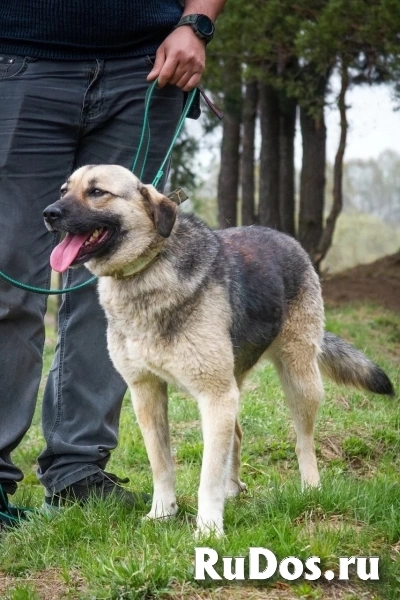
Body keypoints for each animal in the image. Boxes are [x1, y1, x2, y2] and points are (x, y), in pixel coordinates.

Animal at [43, 165, 394, 540]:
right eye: (64, 189)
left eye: (97, 192)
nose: (49, 213)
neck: (147, 269)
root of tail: (285, 237)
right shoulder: (147, 393)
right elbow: (162, 464)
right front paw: (162, 513)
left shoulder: (214, 396)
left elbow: (207, 476)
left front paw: (209, 529)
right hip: (234, 387)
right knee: (236, 437)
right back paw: (233, 489)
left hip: (299, 380)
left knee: (303, 441)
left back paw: (310, 488)